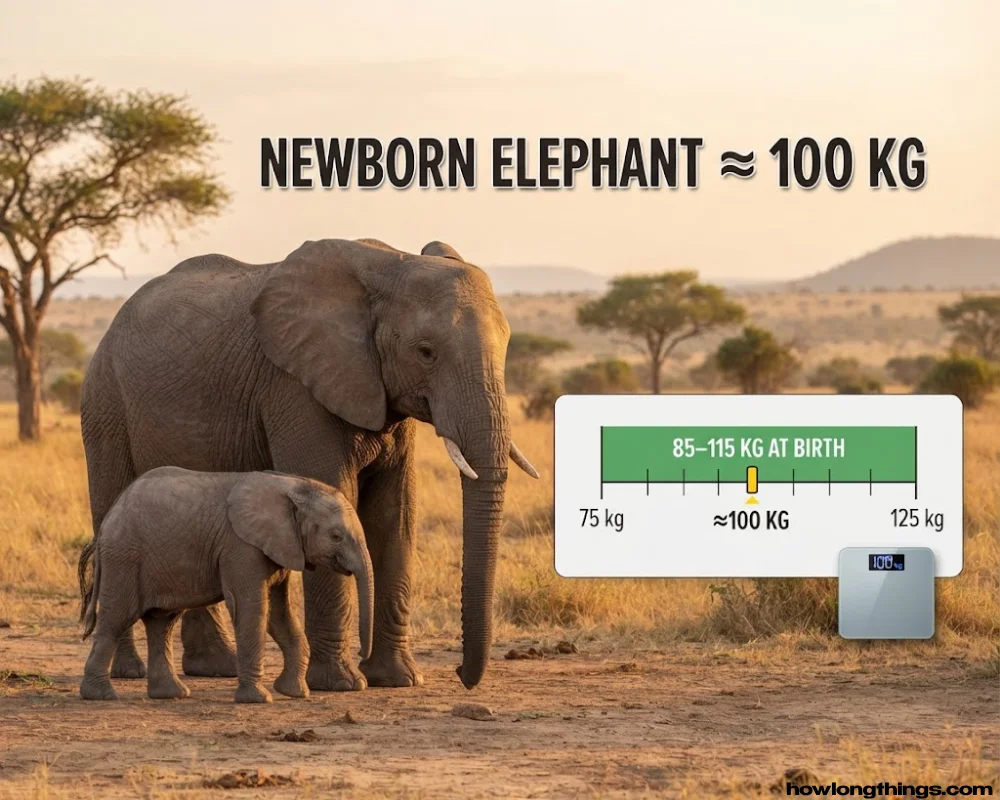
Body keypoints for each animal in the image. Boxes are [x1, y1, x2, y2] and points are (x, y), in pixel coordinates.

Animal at [80, 467, 374, 703]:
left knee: (162, 623)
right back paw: (101, 696)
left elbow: (279, 614)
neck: (292, 485)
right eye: (335, 537)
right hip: (124, 557)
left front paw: (295, 693)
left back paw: (172, 694)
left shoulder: (280, 546)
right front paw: (258, 699)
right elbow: (252, 609)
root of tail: (107, 521)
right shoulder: (240, 547)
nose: (362, 652)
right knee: (116, 619)